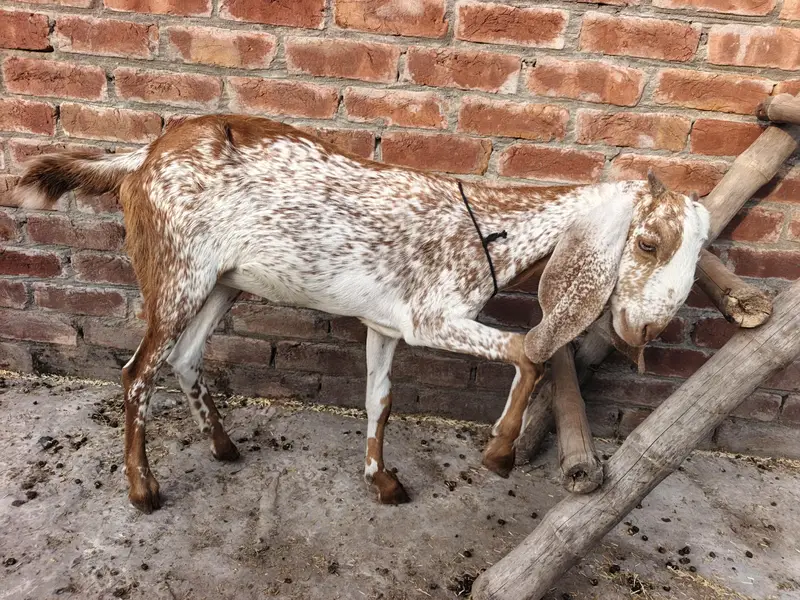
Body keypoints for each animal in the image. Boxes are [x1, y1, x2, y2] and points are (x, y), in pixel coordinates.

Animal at [15, 115, 711, 514]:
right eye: (648, 243)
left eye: (699, 252)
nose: (647, 330)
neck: (490, 228)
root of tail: (144, 156)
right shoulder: (430, 317)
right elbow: (530, 351)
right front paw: (499, 453)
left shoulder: (385, 325)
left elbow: (380, 397)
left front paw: (383, 481)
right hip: (175, 273)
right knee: (137, 373)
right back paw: (143, 491)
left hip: (220, 282)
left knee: (185, 357)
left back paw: (223, 447)